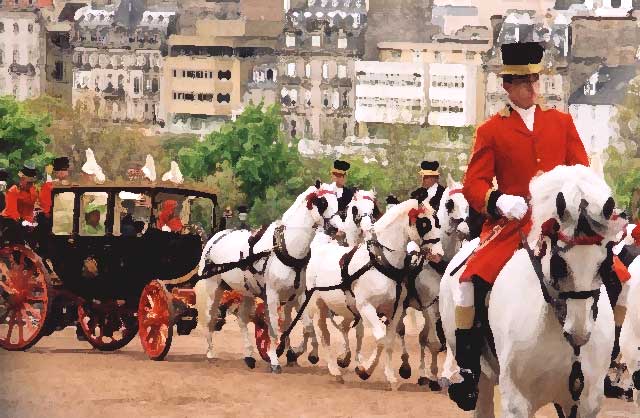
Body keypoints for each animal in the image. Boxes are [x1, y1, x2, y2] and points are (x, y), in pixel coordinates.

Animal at [196, 185, 340, 370]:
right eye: (322, 203)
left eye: (338, 200)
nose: (336, 229)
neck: (286, 249)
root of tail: (216, 236)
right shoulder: (272, 294)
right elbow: (272, 326)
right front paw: (274, 359)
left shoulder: (299, 295)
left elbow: (308, 327)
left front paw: (309, 354)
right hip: (213, 288)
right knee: (210, 318)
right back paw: (210, 352)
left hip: (246, 291)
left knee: (241, 318)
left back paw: (249, 356)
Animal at [308, 200, 442, 388]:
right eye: (424, 223)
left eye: (437, 221)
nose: (439, 254)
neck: (381, 263)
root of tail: (320, 247)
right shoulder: (366, 307)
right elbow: (380, 338)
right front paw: (365, 369)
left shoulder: (395, 310)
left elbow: (388, 341)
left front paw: (390, 377)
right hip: (319, 305)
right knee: (323, 334)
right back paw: (335, 371)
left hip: (347, 308)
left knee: (342, 327)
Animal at [442, 164, 616, 418]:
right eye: (559, 263)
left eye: (605, 262)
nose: (579, 333)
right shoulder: (517, 401)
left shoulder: (586, 403)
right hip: (481, 374)